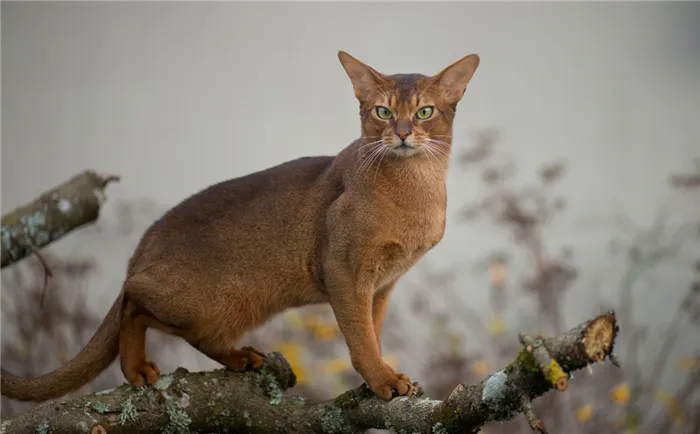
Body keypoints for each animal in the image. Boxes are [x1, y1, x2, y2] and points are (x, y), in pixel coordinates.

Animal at [0, 50, 478, 400]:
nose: (402, 132)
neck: (416, 191)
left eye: (424, 112)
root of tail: (143, 246)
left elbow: (371, 333)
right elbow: (359, 337)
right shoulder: (344, 271)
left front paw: (377, 375)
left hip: (229, 308)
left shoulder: (382, 285)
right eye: (382, 111)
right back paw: (136, 368)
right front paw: (383, 381)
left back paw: (240, 357)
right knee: (132, 303)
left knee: (192, 334)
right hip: (198, 299)